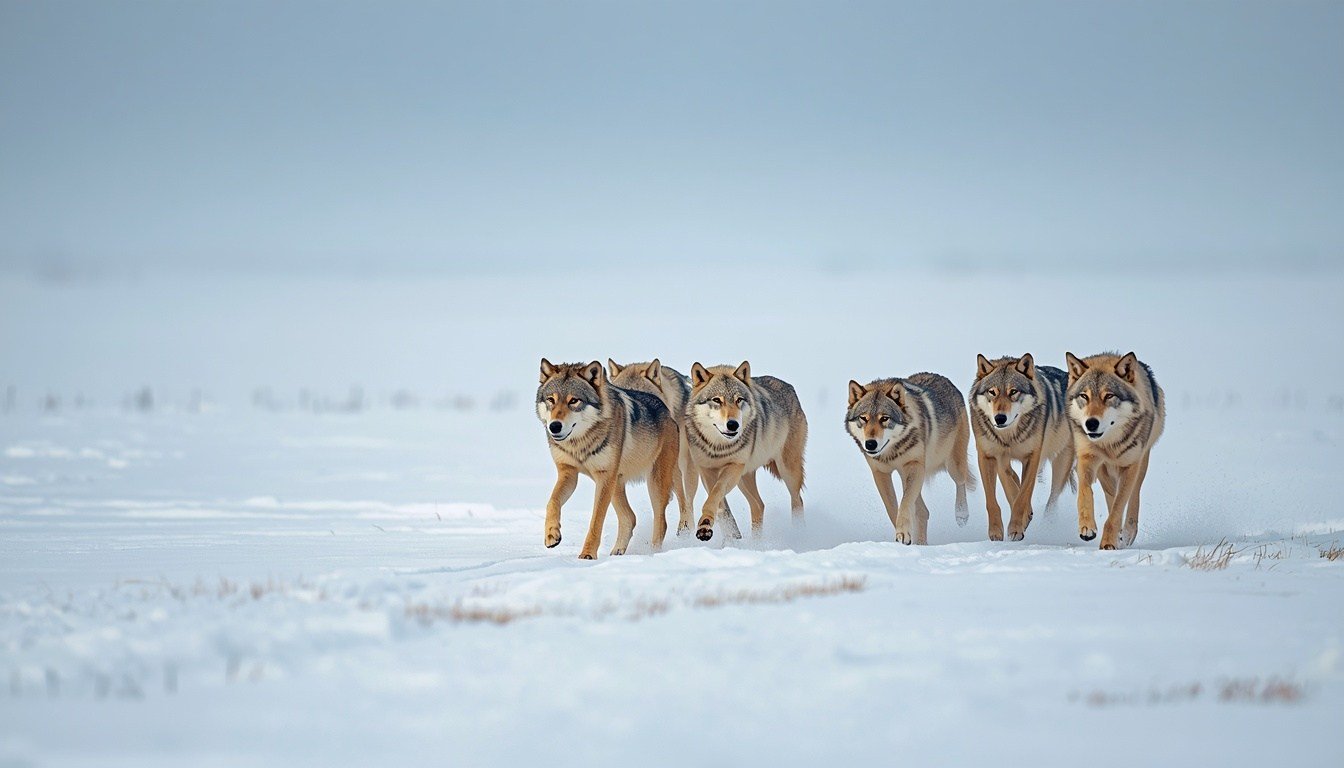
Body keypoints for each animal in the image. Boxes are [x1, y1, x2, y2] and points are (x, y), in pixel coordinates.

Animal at [536, 359, 681, 559]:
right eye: (551, 400)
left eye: (574, 400)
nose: (554, 426)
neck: (579, 444)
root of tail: (661, 403)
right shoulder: (569, 473)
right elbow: (552, 502)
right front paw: (552, 535)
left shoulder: (604, 477)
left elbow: (596, 521)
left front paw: (587, 555)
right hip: (616, 484)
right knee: (630, 518)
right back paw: (617, 552)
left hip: (655, 484)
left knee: (661, 522)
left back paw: (652, 553)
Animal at [683, 361, 807, 541]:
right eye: (717, 400)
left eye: (739, 400)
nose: (733, 424)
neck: (718, 447)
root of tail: (790, 387)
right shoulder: (706, 470)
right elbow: (719, 503)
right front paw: (708, 526)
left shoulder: (734, 466)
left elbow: (716, 492)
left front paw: (706, 524)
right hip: (745, 477)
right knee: (759, 505)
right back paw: (756, 543)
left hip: (787, 470)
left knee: (797, 500)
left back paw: (799, 533)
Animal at [845, 373, 975, 545]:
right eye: (863, 418)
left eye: (884, 418)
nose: (871, 444)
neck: (891, 452)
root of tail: (945, 380)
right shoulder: (880, 473)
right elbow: (892, 507)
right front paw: (903, 535)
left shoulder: (913, 465)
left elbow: (905, 503)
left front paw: (903, 533)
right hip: (907, 474)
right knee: (923, 511)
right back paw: (920, 543)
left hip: (952, 465)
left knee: (960, 481)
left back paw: (962, 515)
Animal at [969, 353, 1075, 542]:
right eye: (992, 392)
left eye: (1013, 392)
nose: (1000, 418)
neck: (1009, 436)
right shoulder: (990, 456)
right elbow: (995, 499)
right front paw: (995, 532)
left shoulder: (1032, 457)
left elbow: (1021, 497)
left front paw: (1016, 528)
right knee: (1012, 478)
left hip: (1061, 464)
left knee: (1053, 498)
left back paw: (1046, 523)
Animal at [1064, 351, 1165, 550]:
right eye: (1084, 396)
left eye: (1109, 396)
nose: (1091, 423)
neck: (1109, 445)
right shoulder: (1086, 458)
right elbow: (1084, 493)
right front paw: (1087, 528)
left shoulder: (1130, 466)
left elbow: (1119, 508)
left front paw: (1109, 542)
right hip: (1104, 473)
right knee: (1110, 493)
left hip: (1140, 465)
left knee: (1133, 497)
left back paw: (1127, 534)